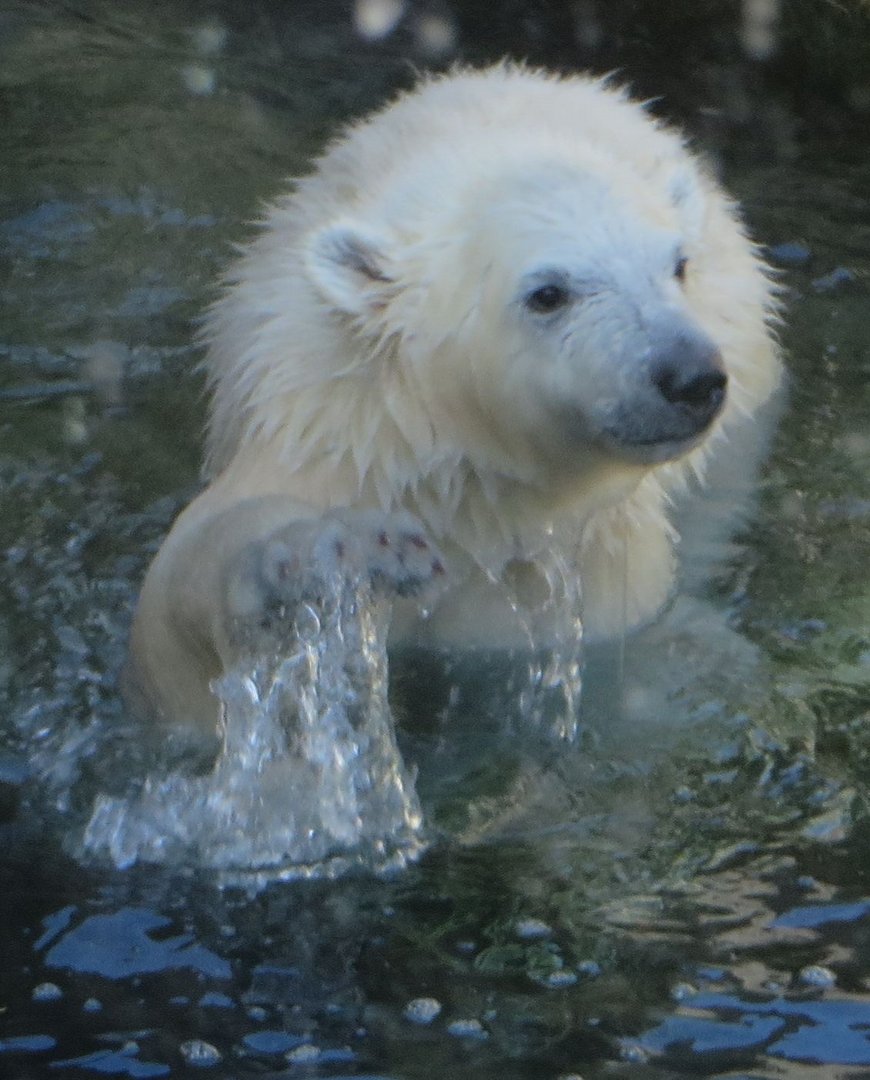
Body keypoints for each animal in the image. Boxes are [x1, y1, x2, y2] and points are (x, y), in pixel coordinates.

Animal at [124, 65, 781, 743]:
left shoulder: (592, 556)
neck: (472, 484)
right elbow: (178, 636)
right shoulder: (336, 434)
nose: (690, 376)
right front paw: (322, 555)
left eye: (678, 266)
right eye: (548, 293)